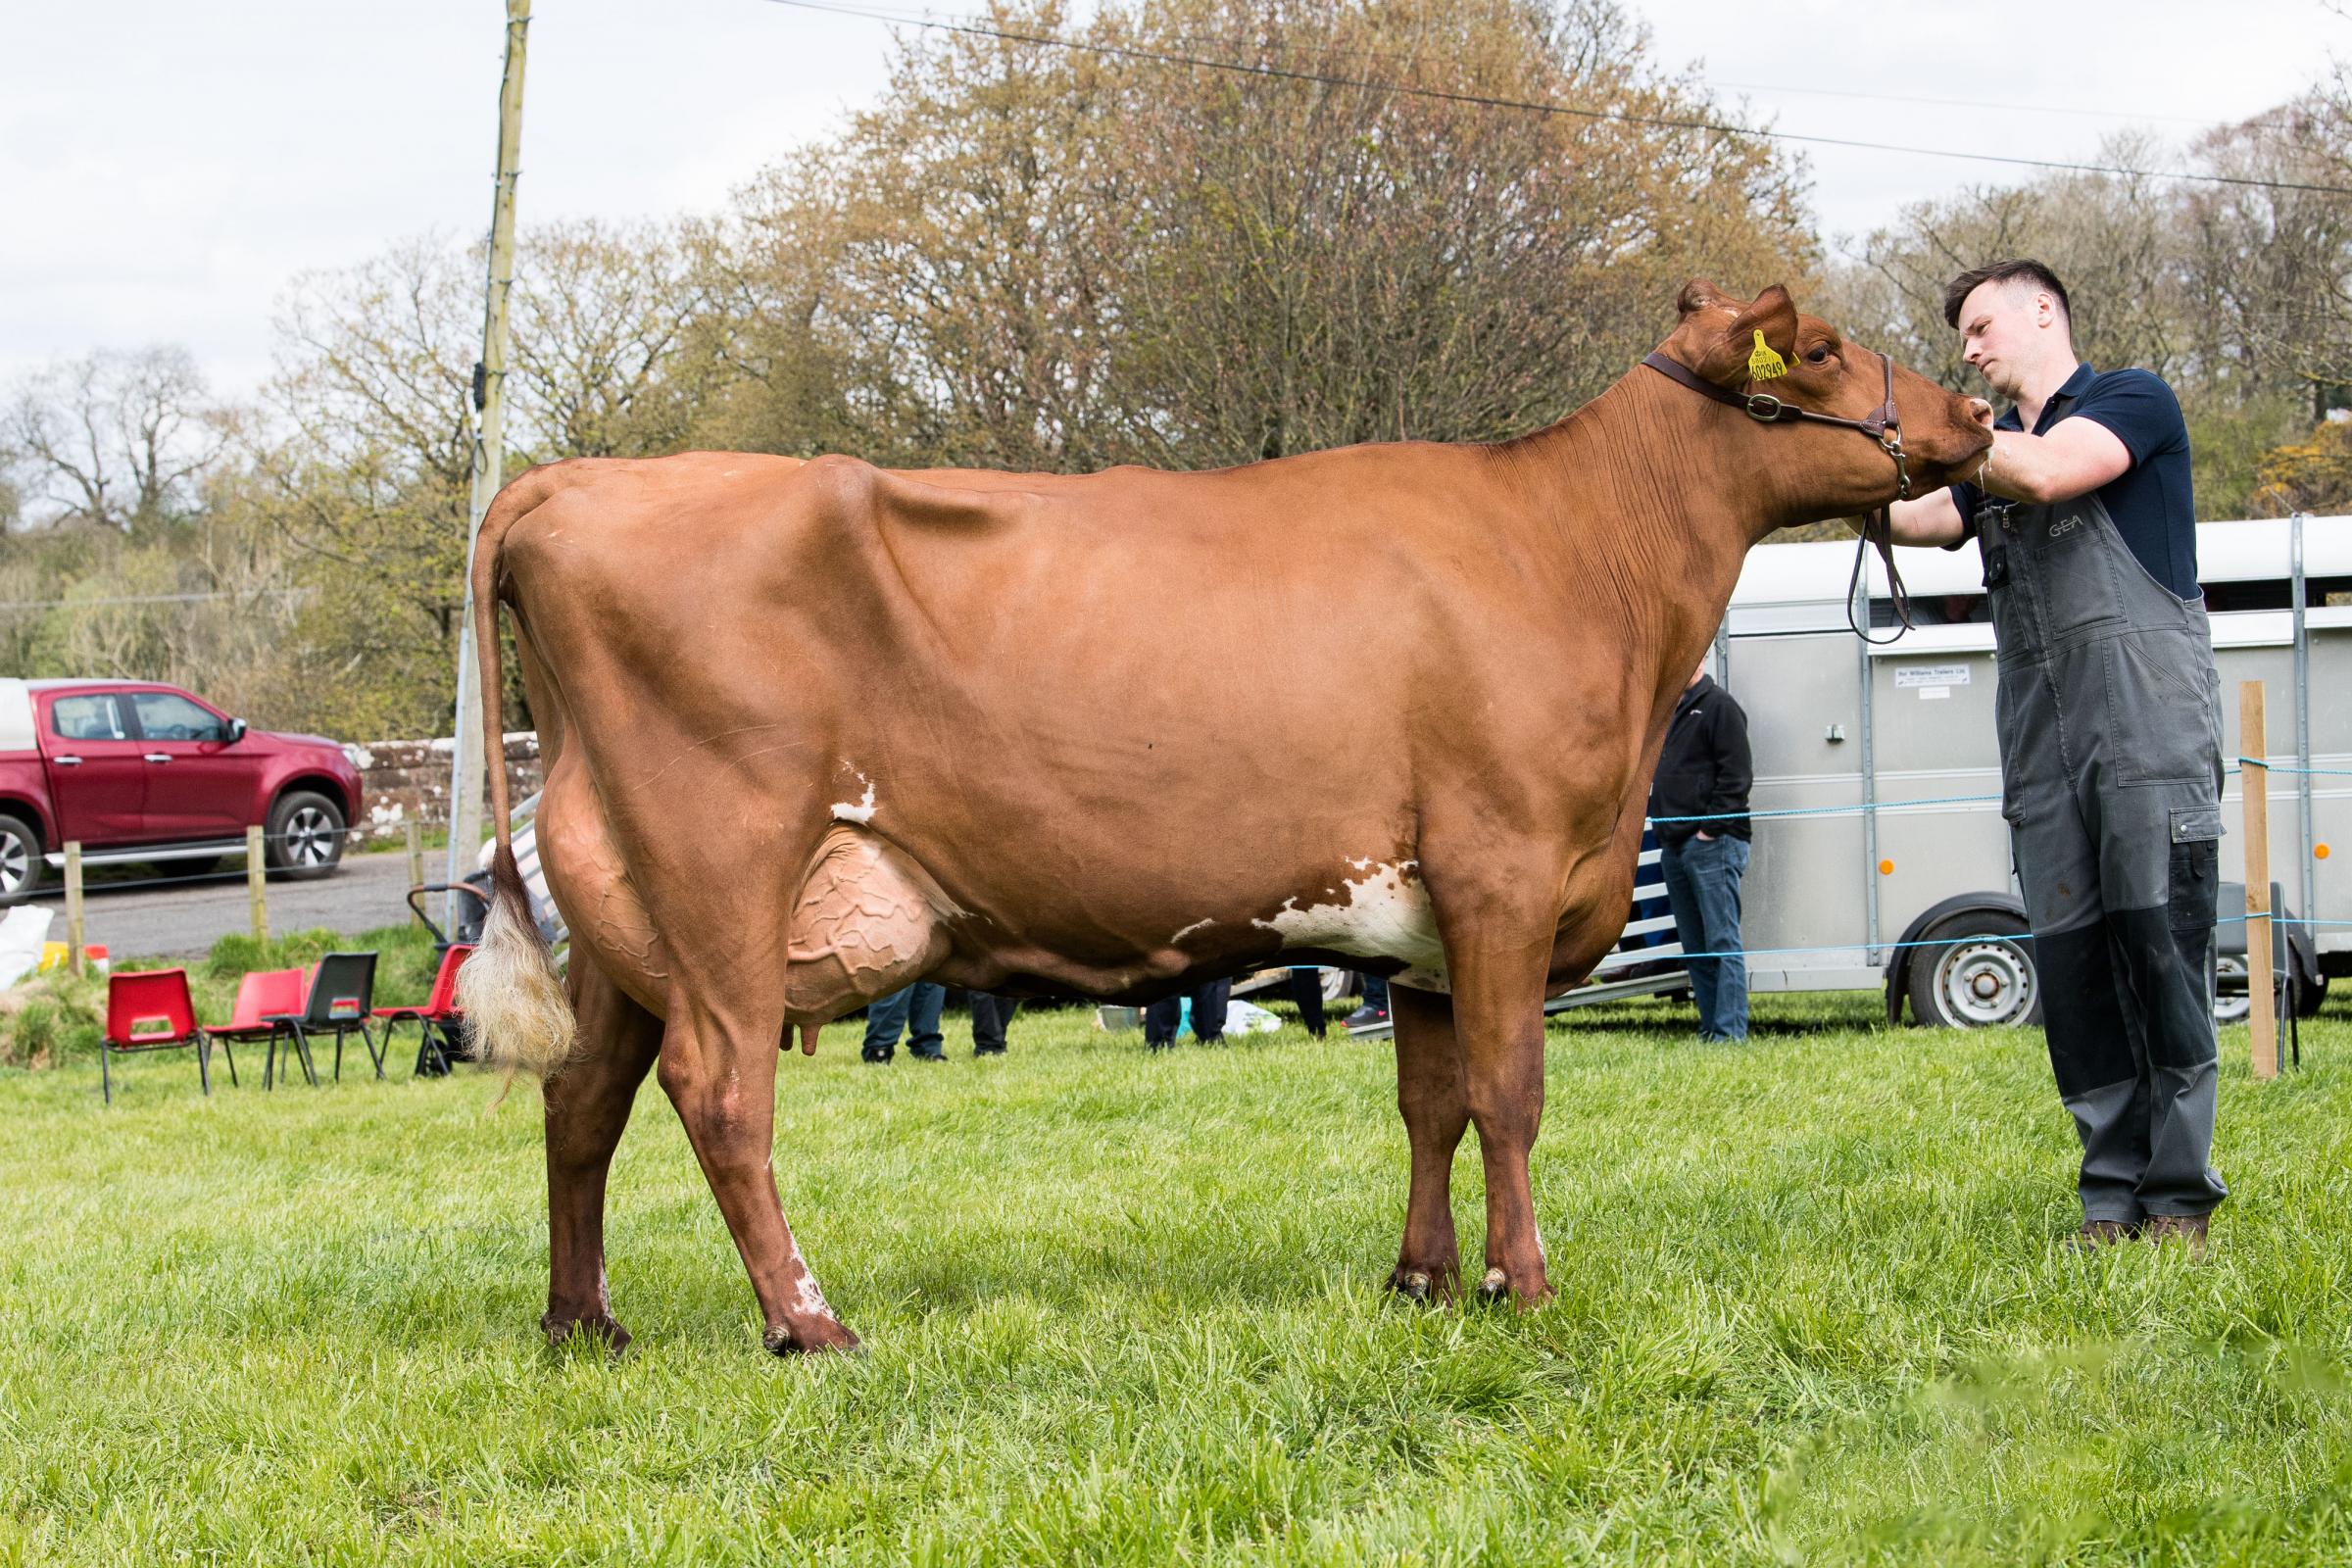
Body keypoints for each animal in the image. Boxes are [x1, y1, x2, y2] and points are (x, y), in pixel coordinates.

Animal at [454, 285, 1984, 1363]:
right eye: (1823, 347)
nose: (1971, 416)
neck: (1573, 549)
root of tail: (579, 478)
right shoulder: (1501, 867)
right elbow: (1511, 1094)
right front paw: (1526, 1285)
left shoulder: (1424, 919)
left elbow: (1428, 1101)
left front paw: (1425, 1281)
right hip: (723, 864)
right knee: (720, 1090)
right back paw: (807, 1322)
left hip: (625, 904)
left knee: (583, 1097)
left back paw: (582, 1323)